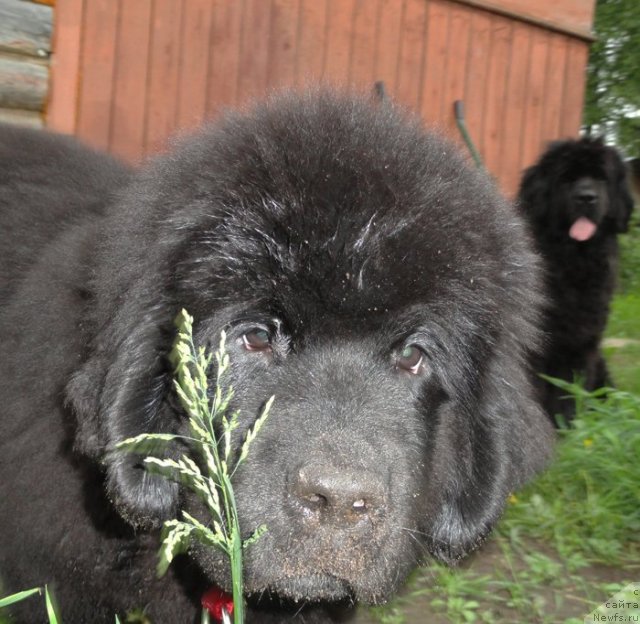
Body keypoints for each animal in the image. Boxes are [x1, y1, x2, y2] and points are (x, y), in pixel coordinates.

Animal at [520, 135, 636, 422]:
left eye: (602, 178)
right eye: (566, 178)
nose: (586, 198)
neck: (573, 260)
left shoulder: (582, 343)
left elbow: (569, 389)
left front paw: (567, 423)